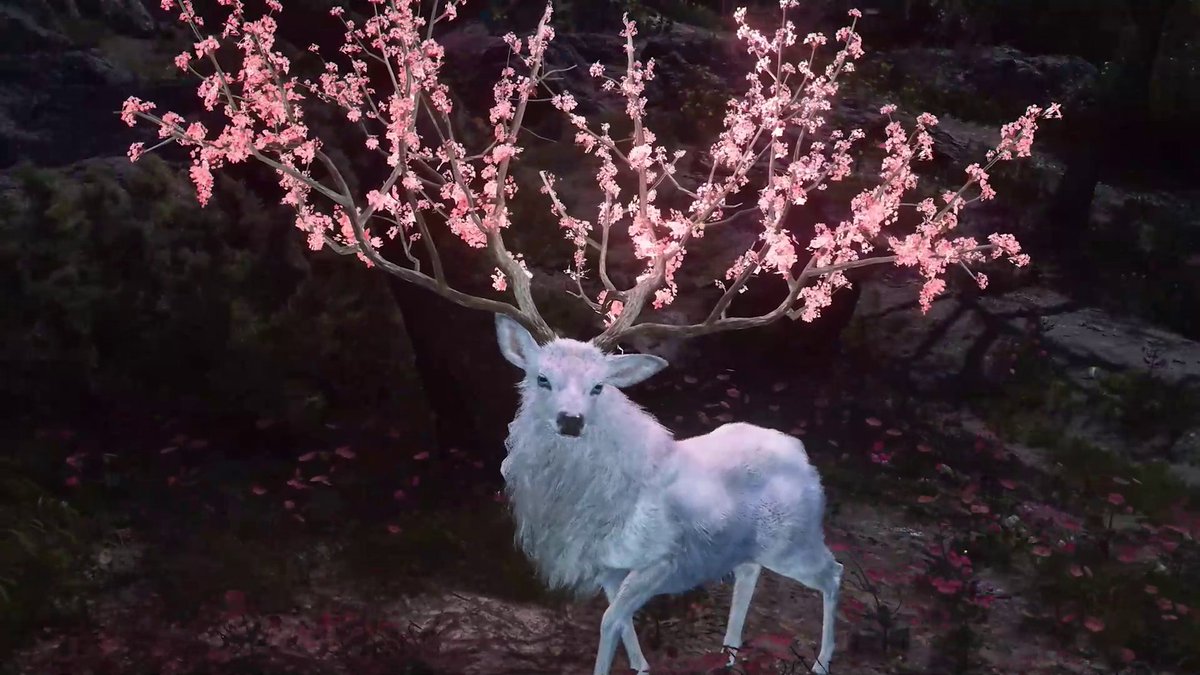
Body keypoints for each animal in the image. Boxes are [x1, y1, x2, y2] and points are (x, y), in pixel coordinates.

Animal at [123, 1, 1058, 673]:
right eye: (540, 379)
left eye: (602, 385)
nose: (571, 419)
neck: (585, 507)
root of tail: (800, 450)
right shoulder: (613, 567)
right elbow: (622, 629)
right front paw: (645, 669)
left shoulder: (649, 564)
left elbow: (610, 625)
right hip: (753, 546)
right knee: (748, 573)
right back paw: (730, 647)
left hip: (797, 534)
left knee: (829, 573)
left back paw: (823, 658)